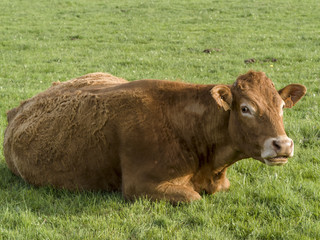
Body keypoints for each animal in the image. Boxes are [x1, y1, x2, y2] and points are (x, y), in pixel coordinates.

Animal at [3, 70, 308, 203]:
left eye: (281, 107)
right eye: (246, 108)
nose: (282, 144)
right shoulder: (139, 185)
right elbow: (193, 198)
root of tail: (20, 107)